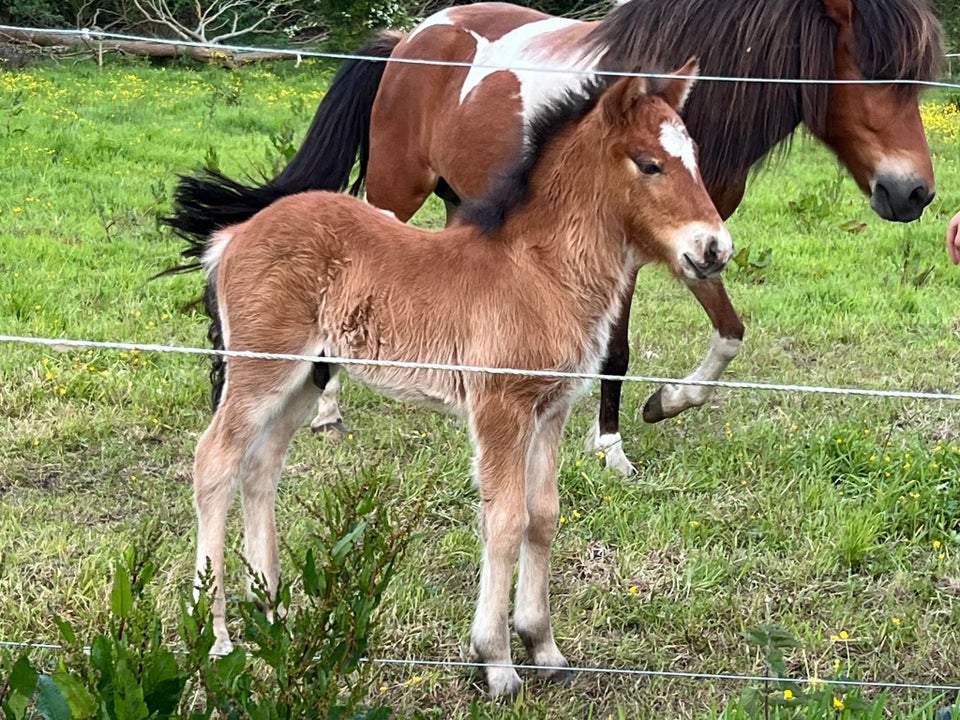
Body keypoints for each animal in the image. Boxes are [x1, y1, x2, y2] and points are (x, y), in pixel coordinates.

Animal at [167, 0, 944, 476]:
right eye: (874, 71)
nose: (914, 193)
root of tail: (412, 38)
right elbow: (618, 353)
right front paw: (611, 447)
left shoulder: (693, 244)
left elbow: (729, 332)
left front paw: (667, 403)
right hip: (395, 189)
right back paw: (328, 408)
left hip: (461, 202)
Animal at [188, 63, 728, 696]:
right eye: (649, 164)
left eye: (694, 155)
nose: (715, 248)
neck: (539, 271)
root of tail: (233, 237)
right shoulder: (500, 407)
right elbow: (505, 519)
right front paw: (495, 662)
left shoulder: (553, 407)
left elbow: (543, 515)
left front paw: (544, 647)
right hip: (262, 367)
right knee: (215, 460)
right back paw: (216, 636)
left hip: (306, 378)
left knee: (260, 467)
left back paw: (273, 612)